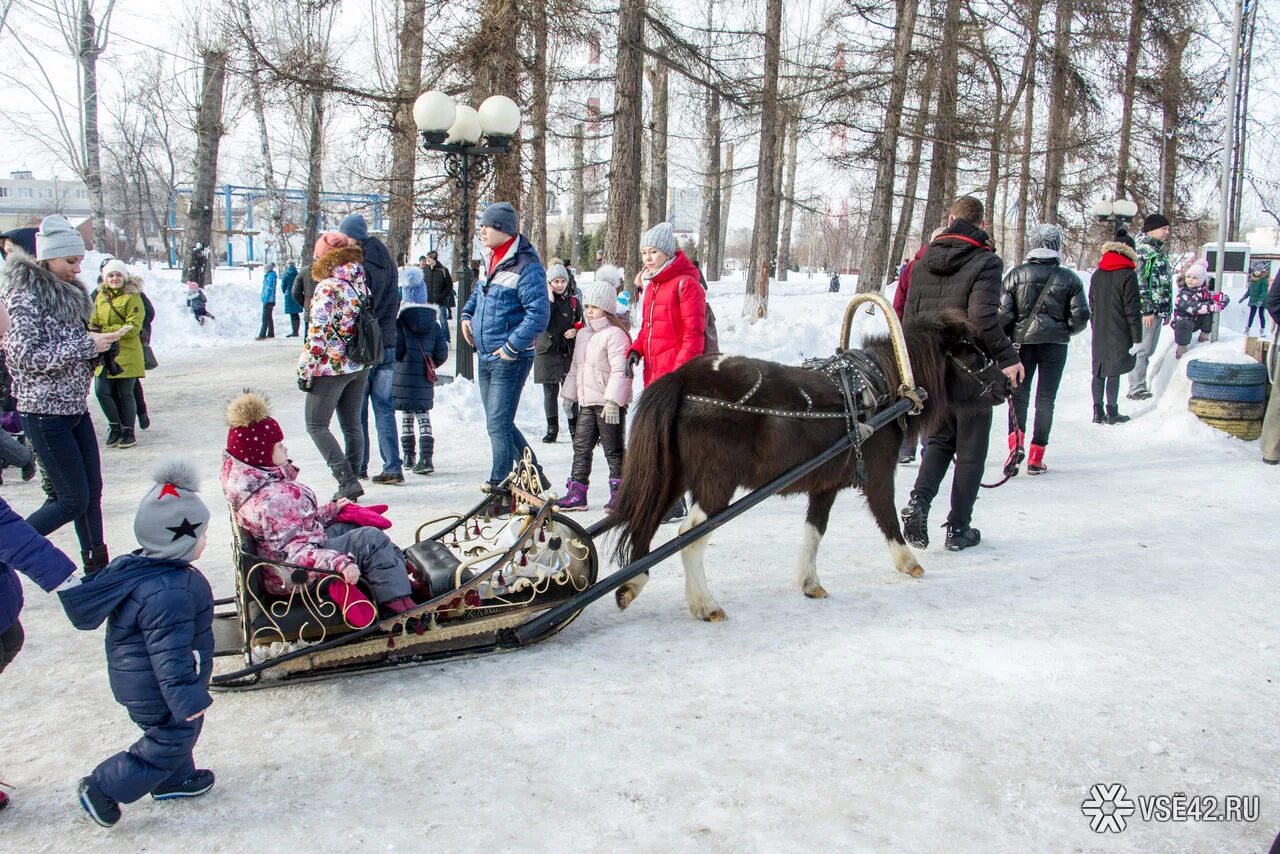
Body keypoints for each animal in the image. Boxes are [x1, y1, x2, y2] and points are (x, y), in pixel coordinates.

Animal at [609, 308, 1008, 622]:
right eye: (973, 354)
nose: (1007, 383)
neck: (882, 387)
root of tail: (682, 379)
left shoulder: (824, 486)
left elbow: (814, 531)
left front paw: (809, 583)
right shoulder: (879, 475)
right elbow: (888, 517)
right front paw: (908, 562)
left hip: (671, 476)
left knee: (646, 519)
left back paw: (631, 584)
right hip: (714, 485)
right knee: (688, 537)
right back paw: (705, 604)